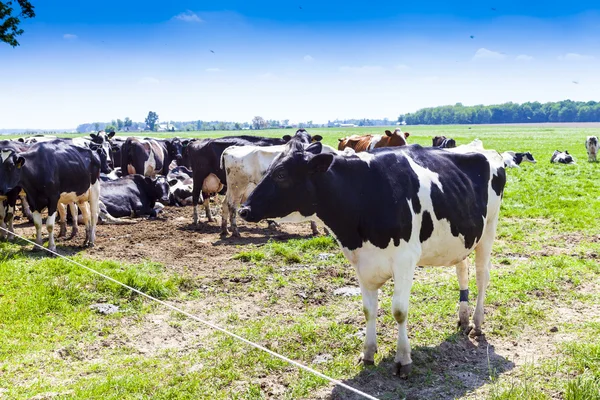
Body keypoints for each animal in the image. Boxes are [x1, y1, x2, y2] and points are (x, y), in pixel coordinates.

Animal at [237, 141, 504, 378]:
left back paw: (477, 323)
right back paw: (463, 319)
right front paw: (367, 354)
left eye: (281, 174)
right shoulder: (361, 263)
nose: (244, 210)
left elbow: (399, 311)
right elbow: (368, 310)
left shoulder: (405, 260)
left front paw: (403, 359)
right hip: (462, 237)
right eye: (268, 170)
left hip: (488, 230)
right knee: (462, 270)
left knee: (482, 277)